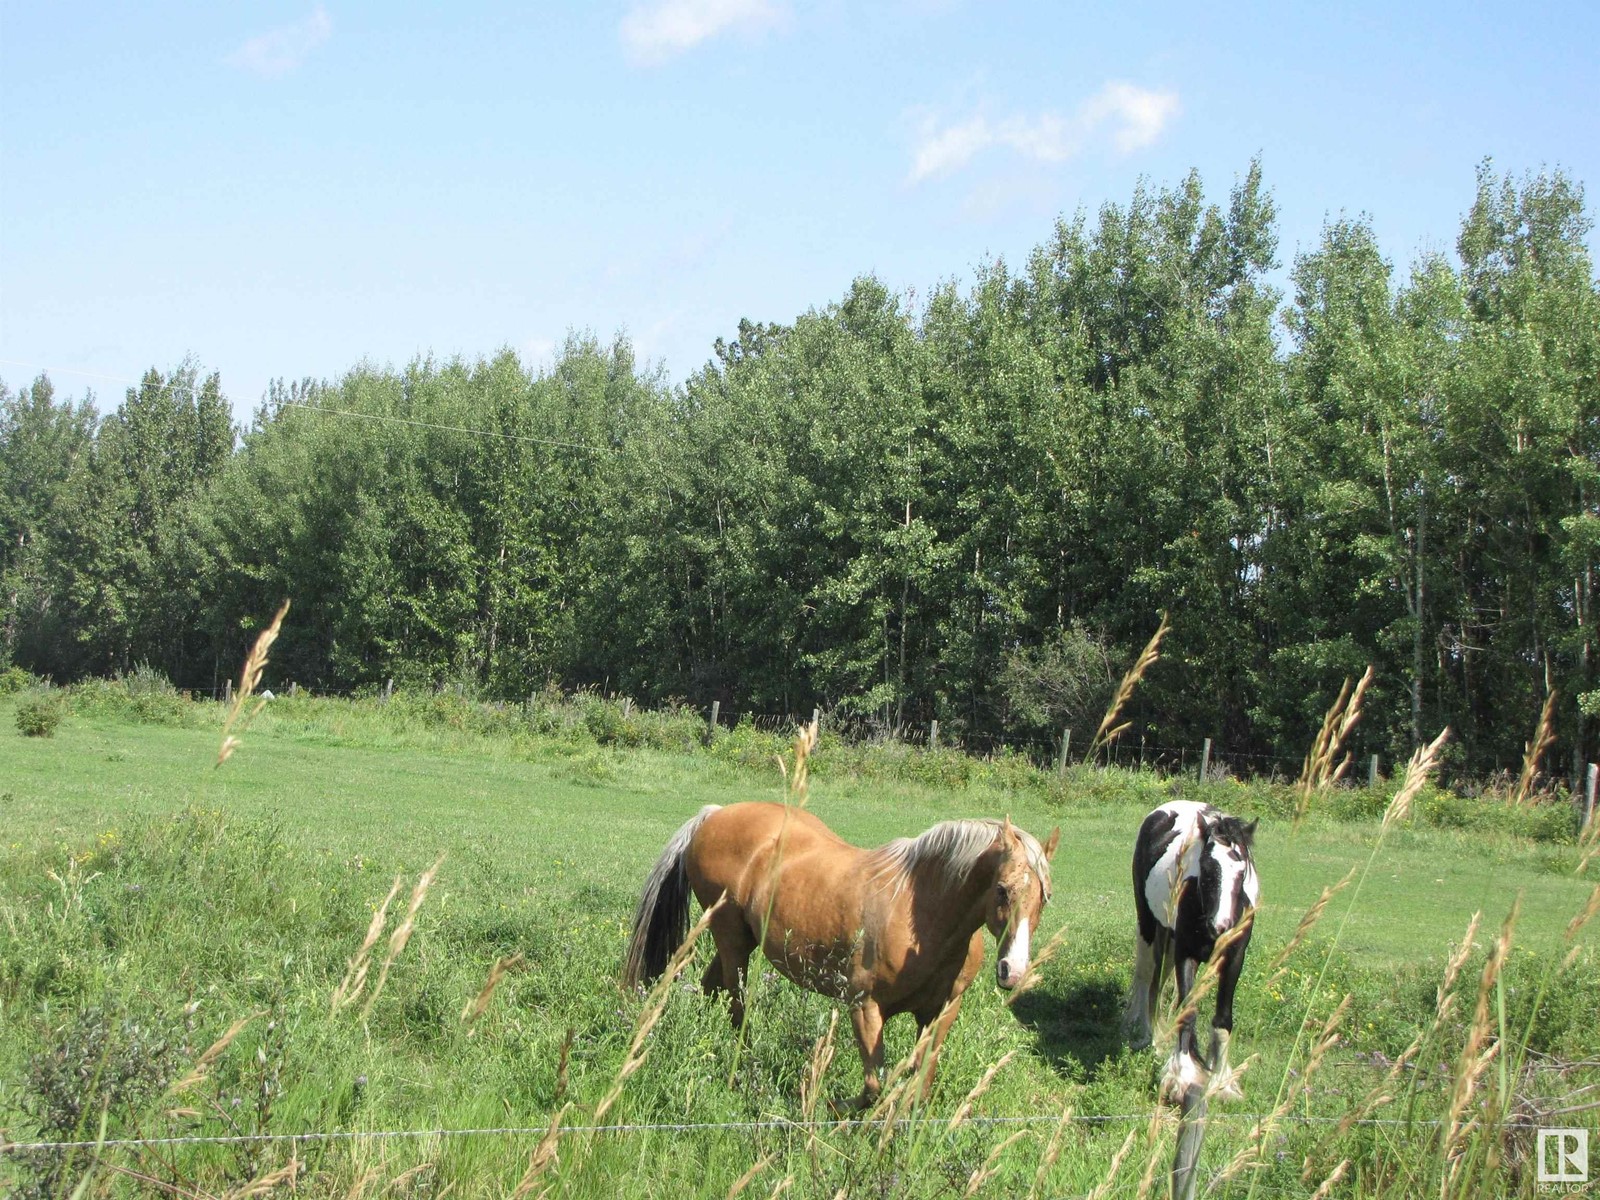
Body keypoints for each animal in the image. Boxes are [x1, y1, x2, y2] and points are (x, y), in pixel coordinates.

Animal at [617, 803, 1056, 1113]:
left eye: (1045, 896)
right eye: (1002, 889)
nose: (1013, 971)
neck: (921, 914)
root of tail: (715, 814)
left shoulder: (940, 1013)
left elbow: (920, 1084)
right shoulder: (864, 1006)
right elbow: (874, 1086)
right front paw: (828, 1102)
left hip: (740, 939)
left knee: (714, 989)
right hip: (729, 936)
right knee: (735, 1004)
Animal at [1126, 803, 1260, 1107]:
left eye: (1241, 872)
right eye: (1207, 868)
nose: (1220, 928)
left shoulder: (1234, 958)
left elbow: (1223, 1020)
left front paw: (1221, 1082)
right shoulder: (1186, 953)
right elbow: (1187, 1012)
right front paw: (1181, 1078)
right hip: (1149, 925)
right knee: (1147, 978)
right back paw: (1148, 1038)